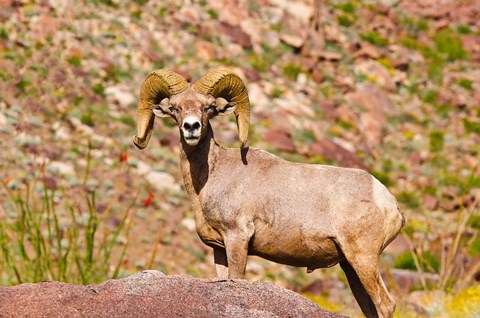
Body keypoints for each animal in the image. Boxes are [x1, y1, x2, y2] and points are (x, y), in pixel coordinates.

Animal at [134, 70, 404, 318]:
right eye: (175, 108)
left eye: (209, 108)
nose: (192, 127)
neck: (212, 175)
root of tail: (390, 203)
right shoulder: (219, 249)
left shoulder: (237, 239)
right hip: (350, 266)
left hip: (363, 259)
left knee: (386, 305)